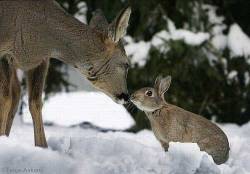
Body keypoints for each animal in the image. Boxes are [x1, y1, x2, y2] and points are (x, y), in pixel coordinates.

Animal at [0, 0, 132, 147]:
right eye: (126, 64)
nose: (126, 96)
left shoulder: (41, 60)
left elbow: (35, 102)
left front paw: (42, 146)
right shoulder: (4, 54)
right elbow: (5, 99)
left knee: (17, 93)